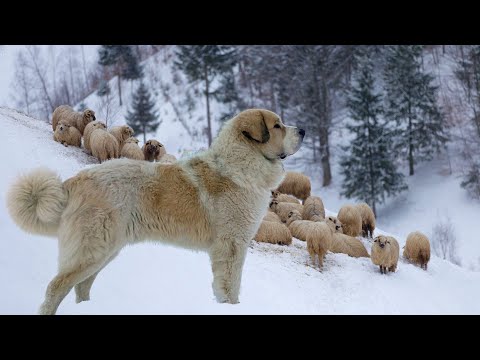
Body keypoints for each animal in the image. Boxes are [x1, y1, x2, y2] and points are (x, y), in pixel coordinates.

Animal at [6, 108, 304, 314]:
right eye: (277, 125)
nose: (302, 130)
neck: (239, 165)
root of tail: (78, 179)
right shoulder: (232, 247)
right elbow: (230, 286)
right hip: (91, 251)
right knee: (56, 287)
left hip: (104, 251)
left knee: (81, 286)